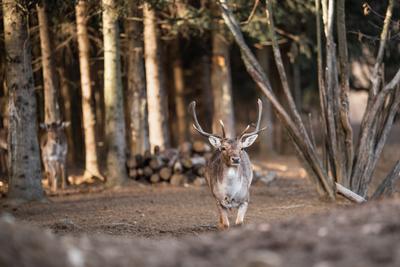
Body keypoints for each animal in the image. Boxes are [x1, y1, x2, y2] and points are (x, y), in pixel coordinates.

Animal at [190, 99, 268, 229]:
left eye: (241, 148)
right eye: (223, 148)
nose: (236, 159)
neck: (231, 194)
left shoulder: (246, 199)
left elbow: (239, 223)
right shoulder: (219, 201)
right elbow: (226, 224)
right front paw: (223, 226)